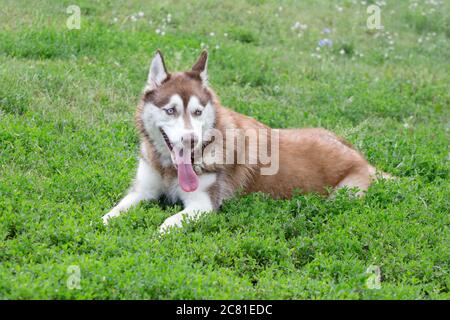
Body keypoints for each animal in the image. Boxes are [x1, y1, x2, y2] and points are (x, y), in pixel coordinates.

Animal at [102, 50, 390, 231]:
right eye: (170, 110)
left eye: (197, 112)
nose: (191, 140)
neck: (169, 169)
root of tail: (362, 159)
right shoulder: (142, 191)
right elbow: (111, 213)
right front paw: (102, 224)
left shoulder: (203, 205)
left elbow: (165, 226)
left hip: (345, 195)